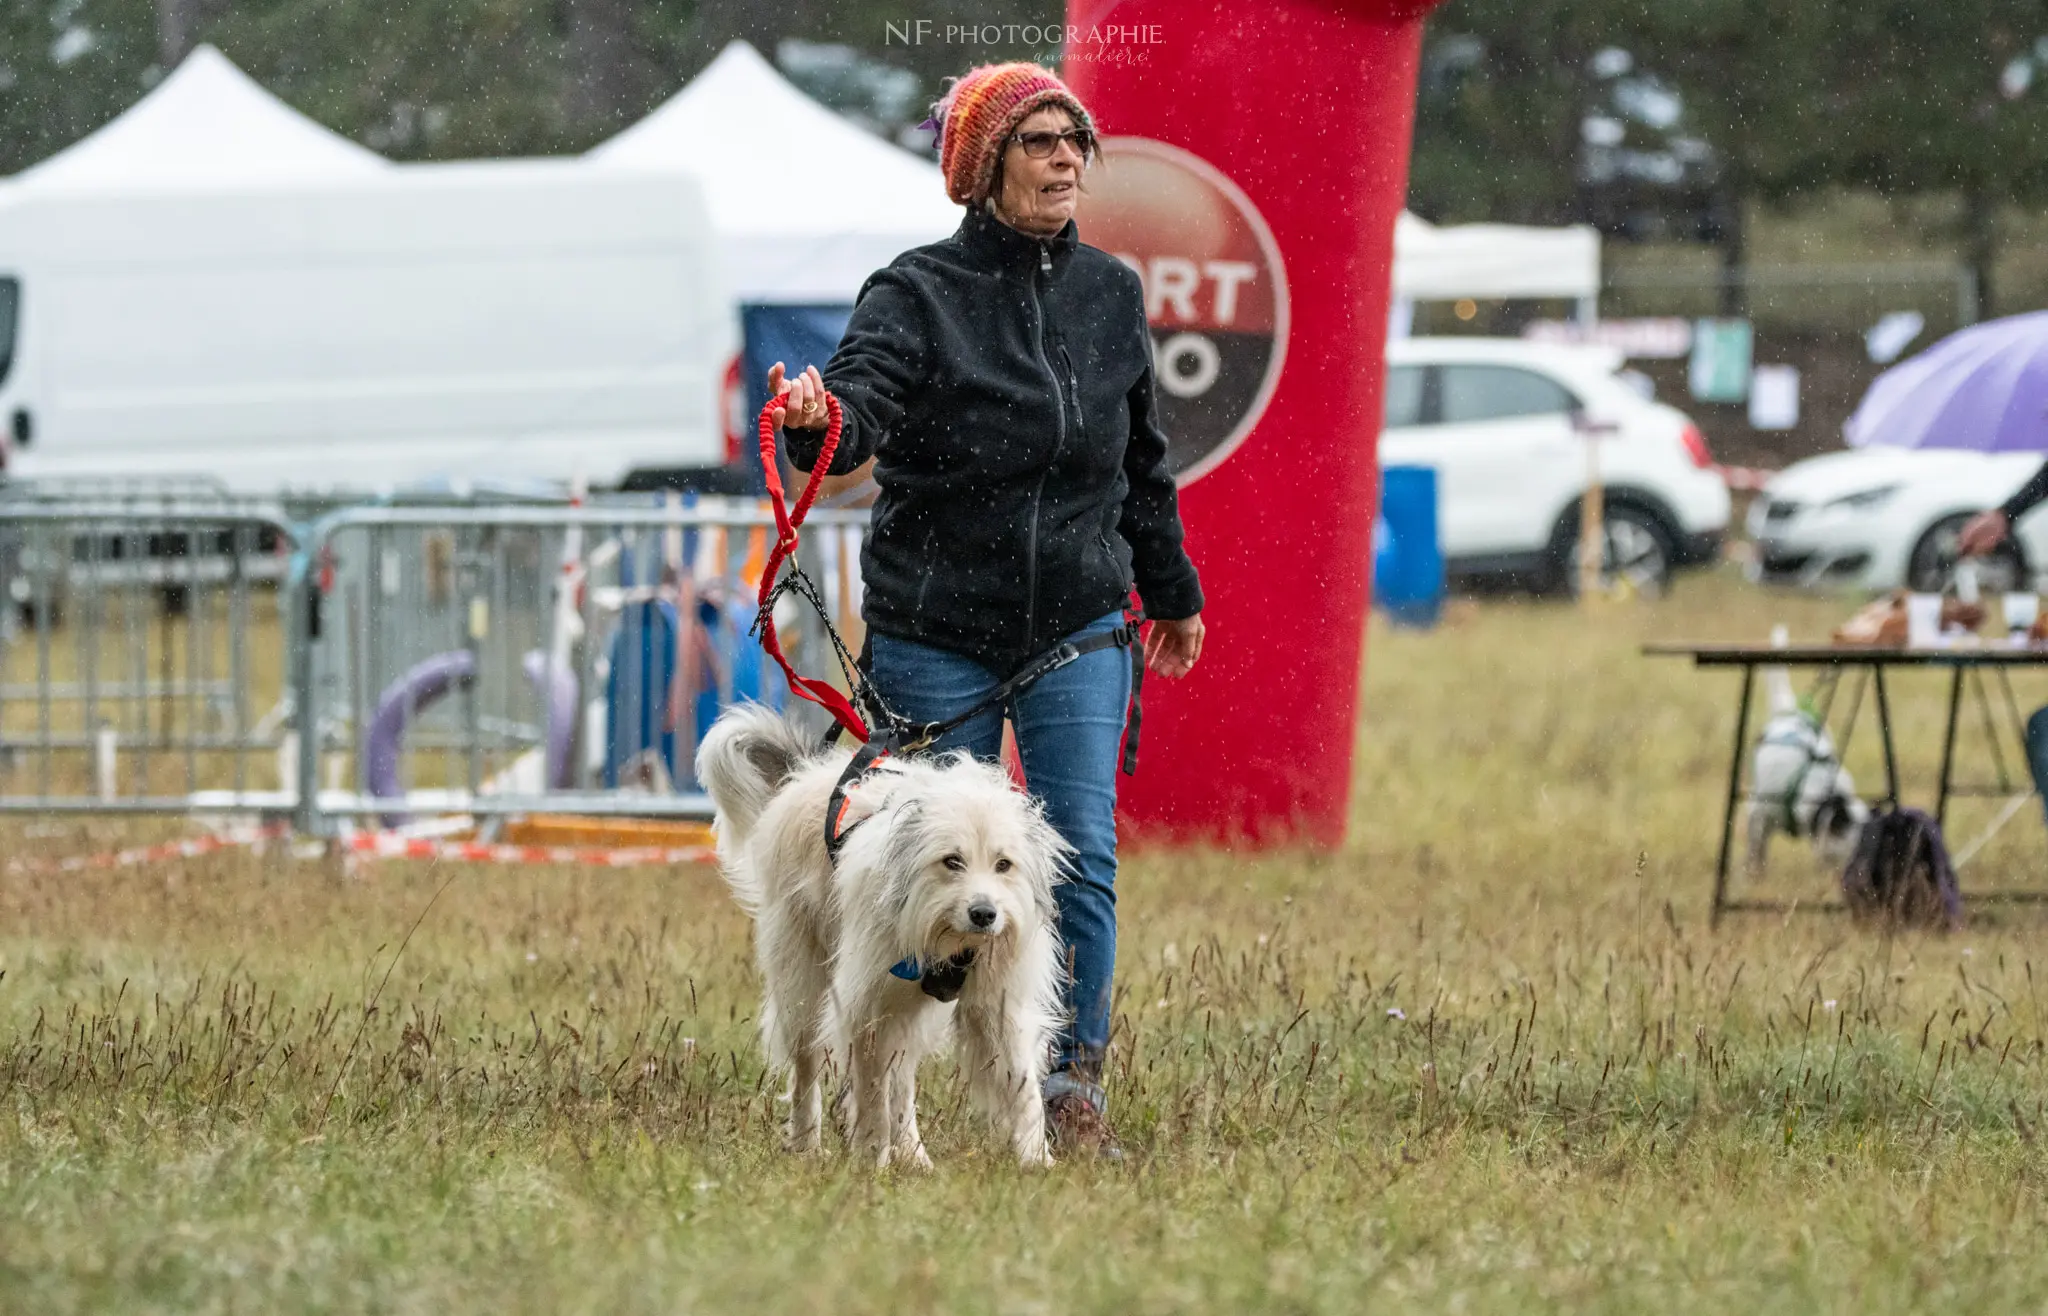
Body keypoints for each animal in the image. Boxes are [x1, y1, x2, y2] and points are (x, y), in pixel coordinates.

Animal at [692, 704, 1064, 1170]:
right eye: (952, 861)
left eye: (1004, 865)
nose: (984, 914)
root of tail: (805, 774)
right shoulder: (866, 1005)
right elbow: (871, 1092)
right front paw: (871, 1158)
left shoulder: (999, 1006)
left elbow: (1021, 1085)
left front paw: (1037, 1158)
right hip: (803, 985)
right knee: (807, 1067)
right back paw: (807, 1142)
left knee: (901, 1079)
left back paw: (913, 1154)